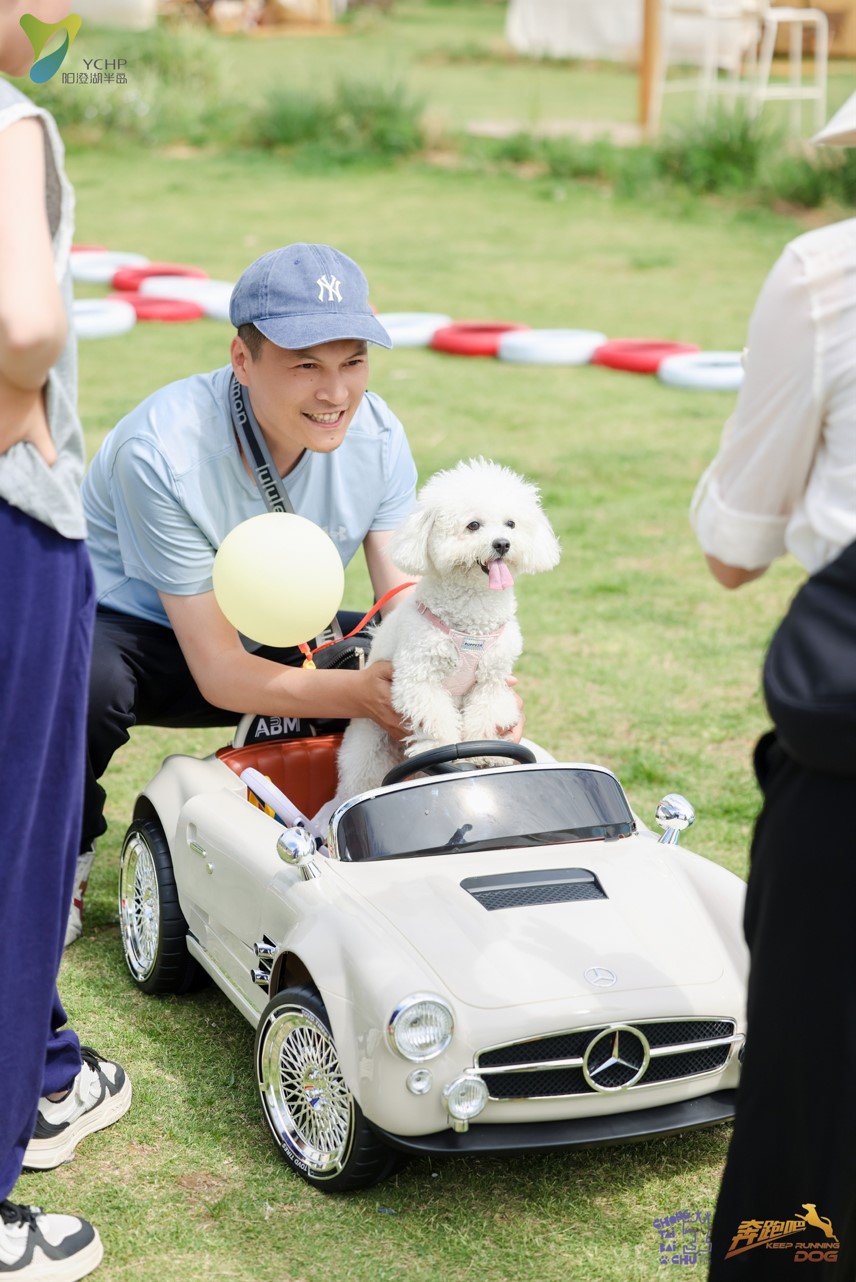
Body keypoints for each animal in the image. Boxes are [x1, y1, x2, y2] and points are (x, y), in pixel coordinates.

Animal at [334, 457, 560, 800]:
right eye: (473, 525)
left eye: (510, 524)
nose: (502, 544)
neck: (472, 618)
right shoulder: (419, 677)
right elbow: (436, 719)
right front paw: (442, 751)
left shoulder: (492, 679)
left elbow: (486, 712)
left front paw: (487, 752)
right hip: (367, 751)